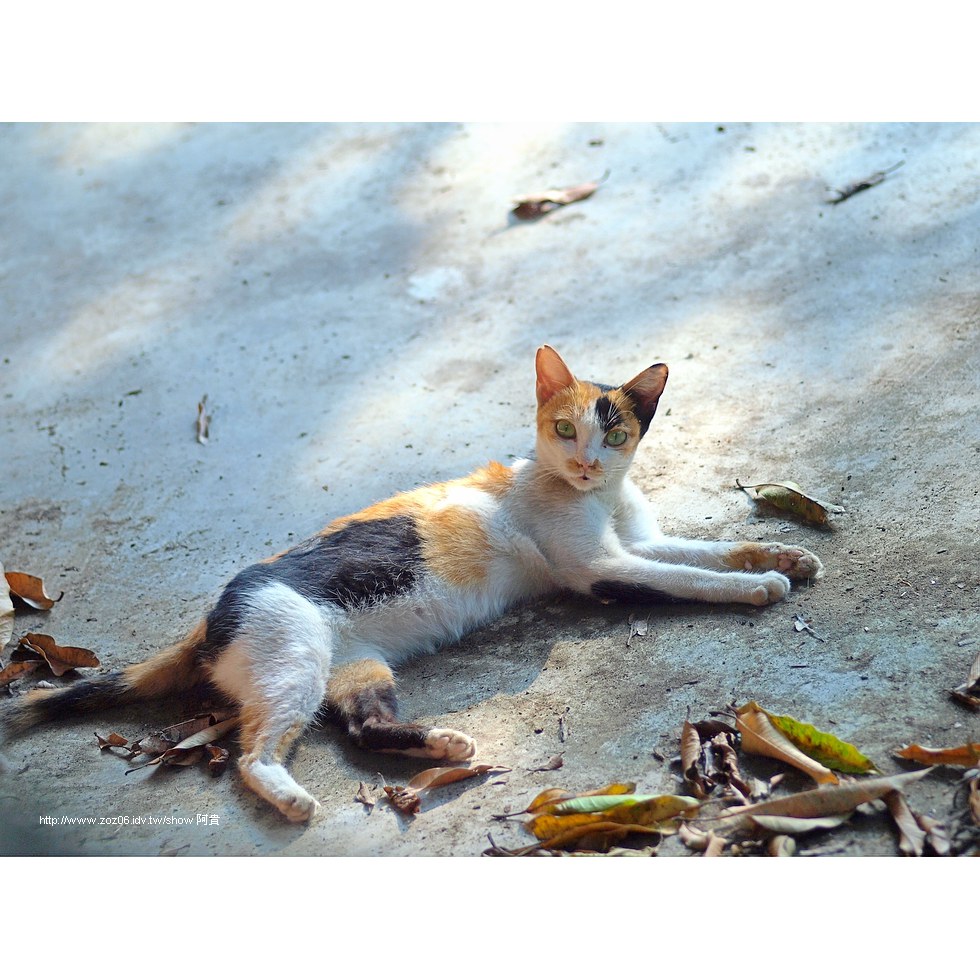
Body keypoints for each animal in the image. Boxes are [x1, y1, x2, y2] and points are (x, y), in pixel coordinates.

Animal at [0, 348, 820, 824]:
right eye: (563, 429)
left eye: (613, 434)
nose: (587, 463)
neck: (595, 496)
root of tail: (211, 616)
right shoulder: (603, 571)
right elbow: (686, 576)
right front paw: (760, 587)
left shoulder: (637, 542)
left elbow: (706, 546)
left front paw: (787, 553)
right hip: (293, 658)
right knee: (249, 754)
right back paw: (294, 799)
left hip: (354, 665)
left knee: (362, 727)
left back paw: (445, 744)